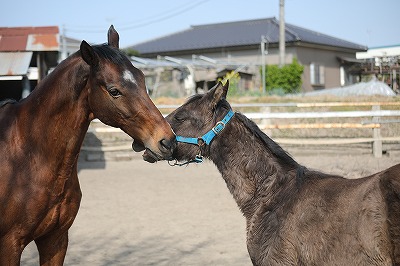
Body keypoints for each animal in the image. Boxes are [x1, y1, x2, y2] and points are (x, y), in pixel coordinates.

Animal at [0, 25, 175, 266]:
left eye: (142, 80)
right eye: (114, 91)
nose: (167, 140)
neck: (27, 156)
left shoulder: (55, 240)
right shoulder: (9, 245)